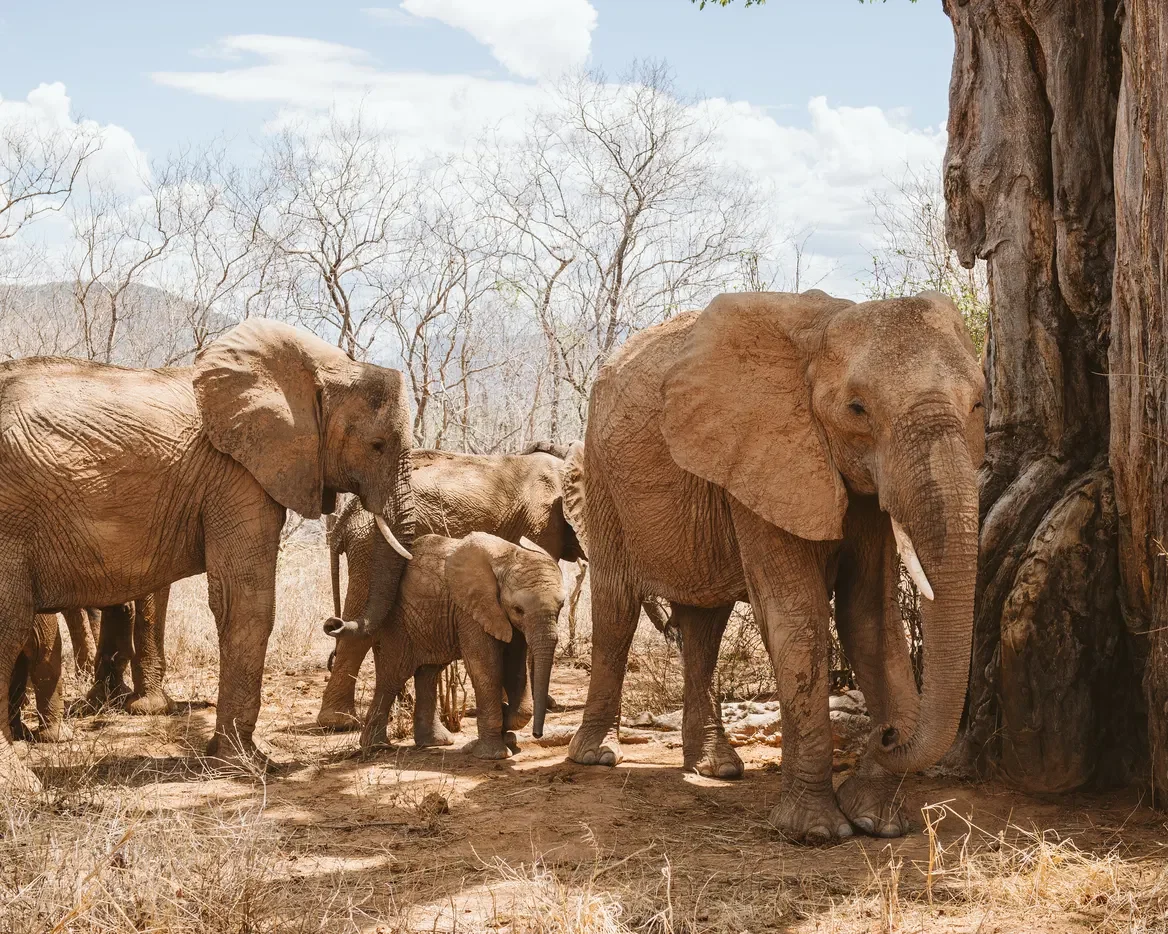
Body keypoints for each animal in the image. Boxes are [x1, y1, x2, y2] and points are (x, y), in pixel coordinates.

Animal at [0, 318, 416, 792]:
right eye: (378, 445)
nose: (332, 623)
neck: (319, 367)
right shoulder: (237, 475)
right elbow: (246, 602)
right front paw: (247, 766)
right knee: (11, 623)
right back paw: (21, 784)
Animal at [318, 444, 674, 736]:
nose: (673, 628)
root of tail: (347, 514)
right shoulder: (541, 521)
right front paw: (537, 705)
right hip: (371, 545)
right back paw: (341, 723)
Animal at [339, 532, 564, 759]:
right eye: (518, 609)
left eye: (561, 606)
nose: (537, 735)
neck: (507, 557)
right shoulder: (471, 610)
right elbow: (486, 668)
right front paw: (494, 753)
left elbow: (515, 668)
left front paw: (506, 727)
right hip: (398, 621)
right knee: (394, 674)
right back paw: (376, 746)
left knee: (428, 672)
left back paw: (434, 742)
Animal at [567, 290, 984, 843]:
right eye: (857, 409)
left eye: (978, 404)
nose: (890, 734)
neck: (824, 329)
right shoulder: (763, 453)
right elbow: (798, 620)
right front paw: (815, 832)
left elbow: (870, 620)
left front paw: (878, 821)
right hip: (598, 470)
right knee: (616, 607)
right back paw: (595, 757)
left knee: (705, 622)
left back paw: (717, 767)